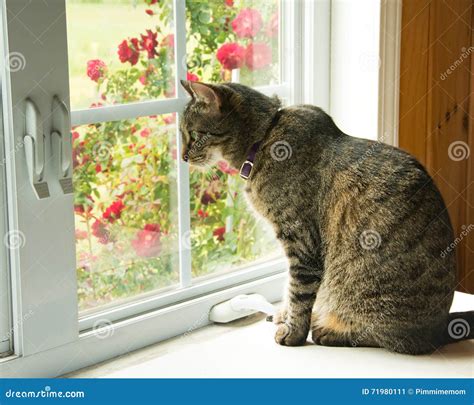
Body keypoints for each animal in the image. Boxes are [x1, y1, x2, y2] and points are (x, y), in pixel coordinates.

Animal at [180, 80, 472, 352]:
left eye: (193, 134)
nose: (182, 157)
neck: (266, 135)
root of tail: (440, 328)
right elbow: (289, 289)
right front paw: (283, 314)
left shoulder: (300, 240)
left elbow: (298, 291)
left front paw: (293, 331)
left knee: (387, 338)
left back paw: (331, 331)